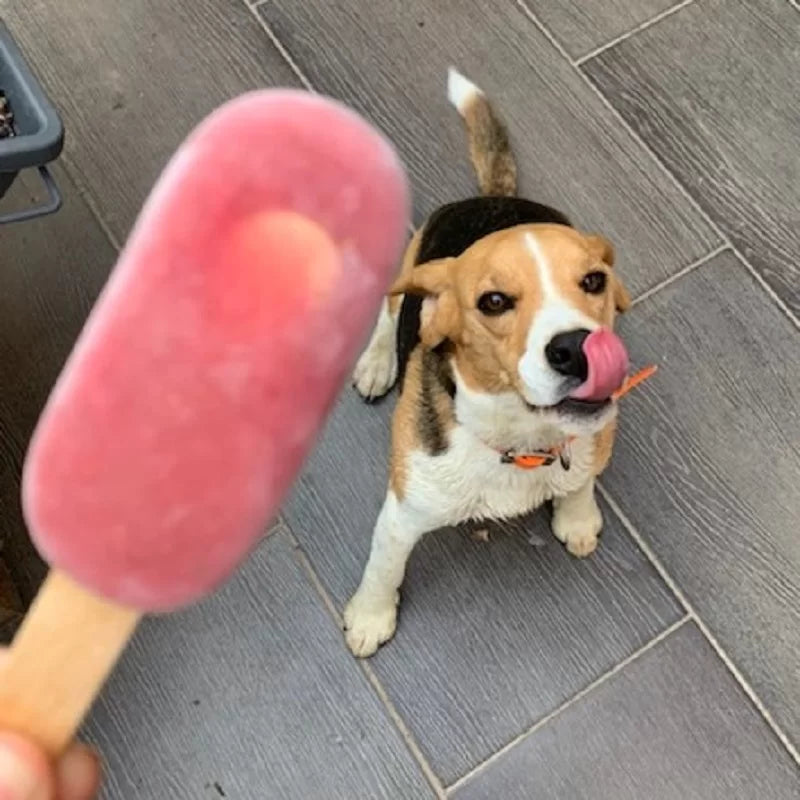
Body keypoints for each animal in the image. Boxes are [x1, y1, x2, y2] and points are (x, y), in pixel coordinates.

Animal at [344, 67, 632, 656]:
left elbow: (582, 479)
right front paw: (369, 618)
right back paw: (378, 364)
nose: (575, 347)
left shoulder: (591, 444)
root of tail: (494, 200)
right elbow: (384, 566)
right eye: (493, 302)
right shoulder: (403, 511)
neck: (520, 446)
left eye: (594, 281)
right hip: (410, 270)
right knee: (389, 314)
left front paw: (578, 517)